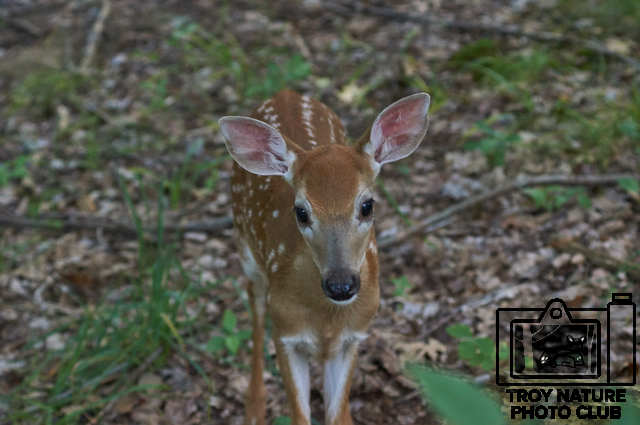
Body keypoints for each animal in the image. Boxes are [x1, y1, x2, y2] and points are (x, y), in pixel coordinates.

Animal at [219, 89, 430, 425]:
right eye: (301, 212)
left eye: (367, 205)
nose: (340, 285)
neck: (326, 318)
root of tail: (285, 93)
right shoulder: (286, 332)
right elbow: (299, 416)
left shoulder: (353, 336)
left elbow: (337, 415)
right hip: (246, 248)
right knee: (255, 304)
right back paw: (254, 408)